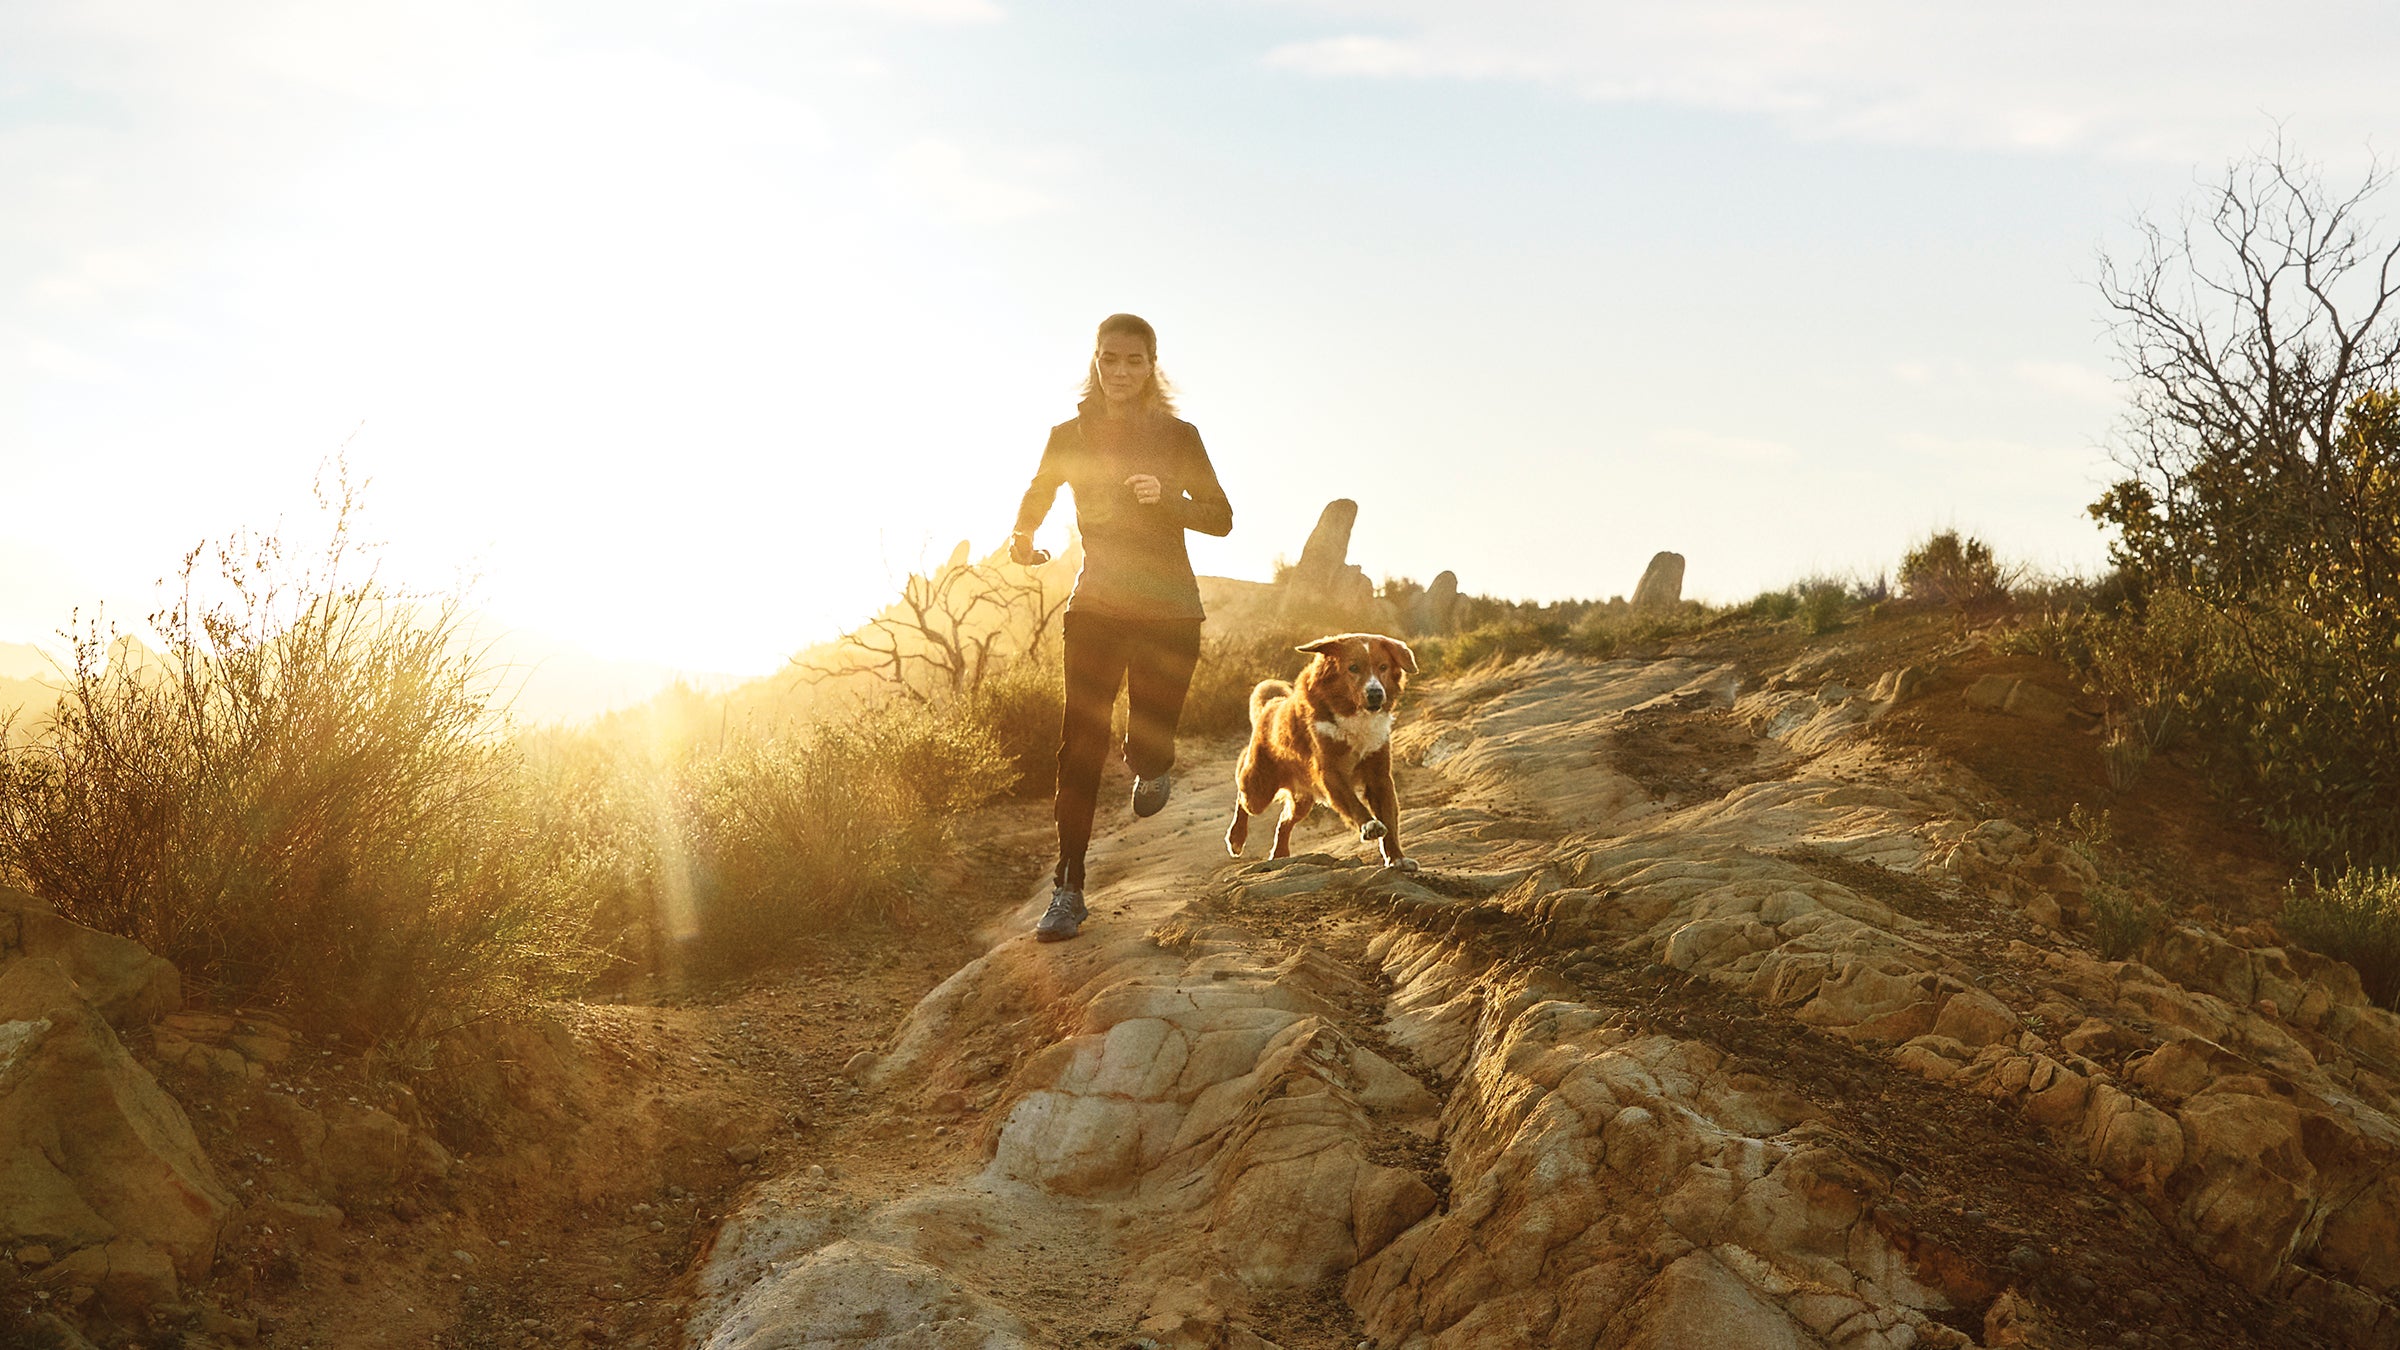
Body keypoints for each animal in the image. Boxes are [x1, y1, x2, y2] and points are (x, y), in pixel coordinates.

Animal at [1228, 634, 1411, 874]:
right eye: (1353, 667)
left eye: (1383, 667)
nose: (1375, 694)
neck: (1353, 714)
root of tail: (1272, 706)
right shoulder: (1330, 773)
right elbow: (1353, 802)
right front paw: (1369, 825)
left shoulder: (1378, 775)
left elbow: (1389, 819)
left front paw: (1397, 858)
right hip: (1258, 789)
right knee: (1242, 794)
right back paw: (1236, 838)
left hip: (1302, 799)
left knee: (1285, 821)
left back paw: (1280, 854)